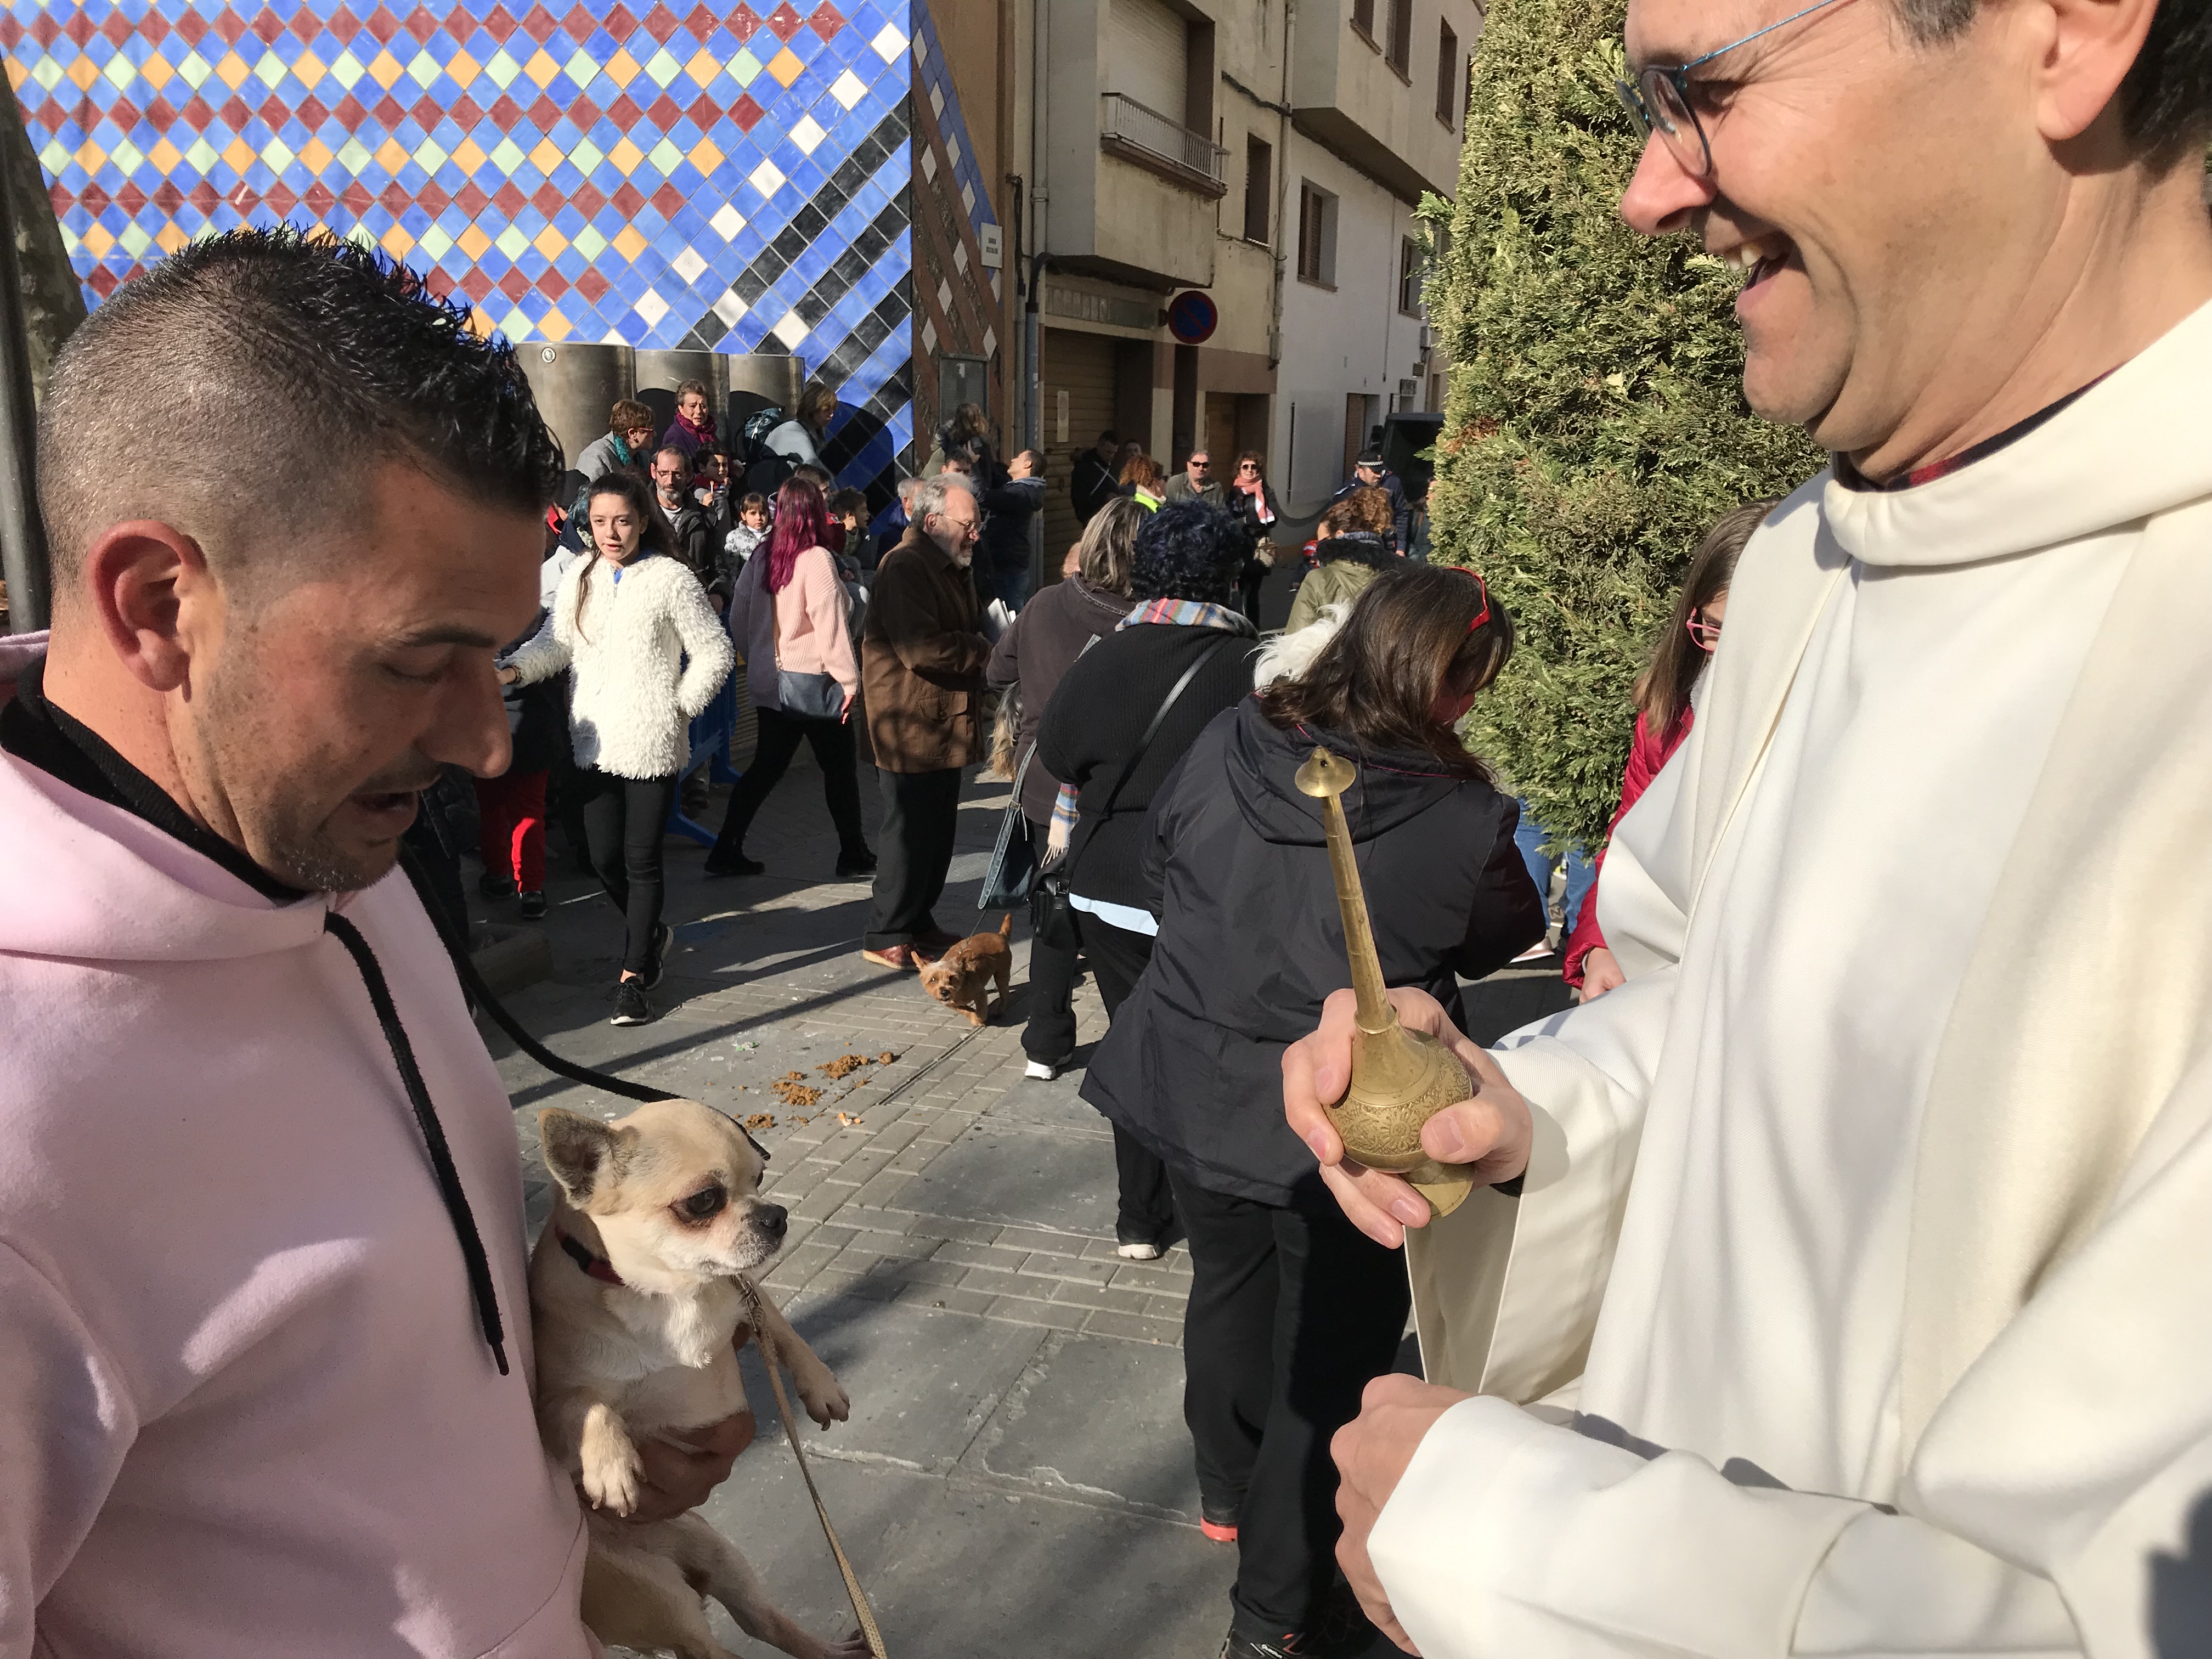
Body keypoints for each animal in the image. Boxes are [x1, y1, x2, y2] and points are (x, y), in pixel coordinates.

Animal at [531, 1106, 867, 1659]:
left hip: (716, 1552)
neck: (667, 1294)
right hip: (657, 1594)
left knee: (765, 1623)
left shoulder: (746, 1297)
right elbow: (588, 1408)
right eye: (703, 1201)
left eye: (760, 1178)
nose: (776, 1215)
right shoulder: (552, 1402)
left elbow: (783, 1329)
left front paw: (821, 1386)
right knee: (709, 1649)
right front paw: (611, 1467)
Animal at [920, 911, 1013, 1026]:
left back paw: (1000, 1009)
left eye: (952, 978)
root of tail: (1000, 935)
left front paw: (979, 1019)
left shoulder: (980, 994)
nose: (945, 992)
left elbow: (981, 1010)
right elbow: (966, 1011)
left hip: (1002, 973)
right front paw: (974, 1017)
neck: (959, 991)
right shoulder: (951, 1005)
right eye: (933, 980)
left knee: (1004, 993)